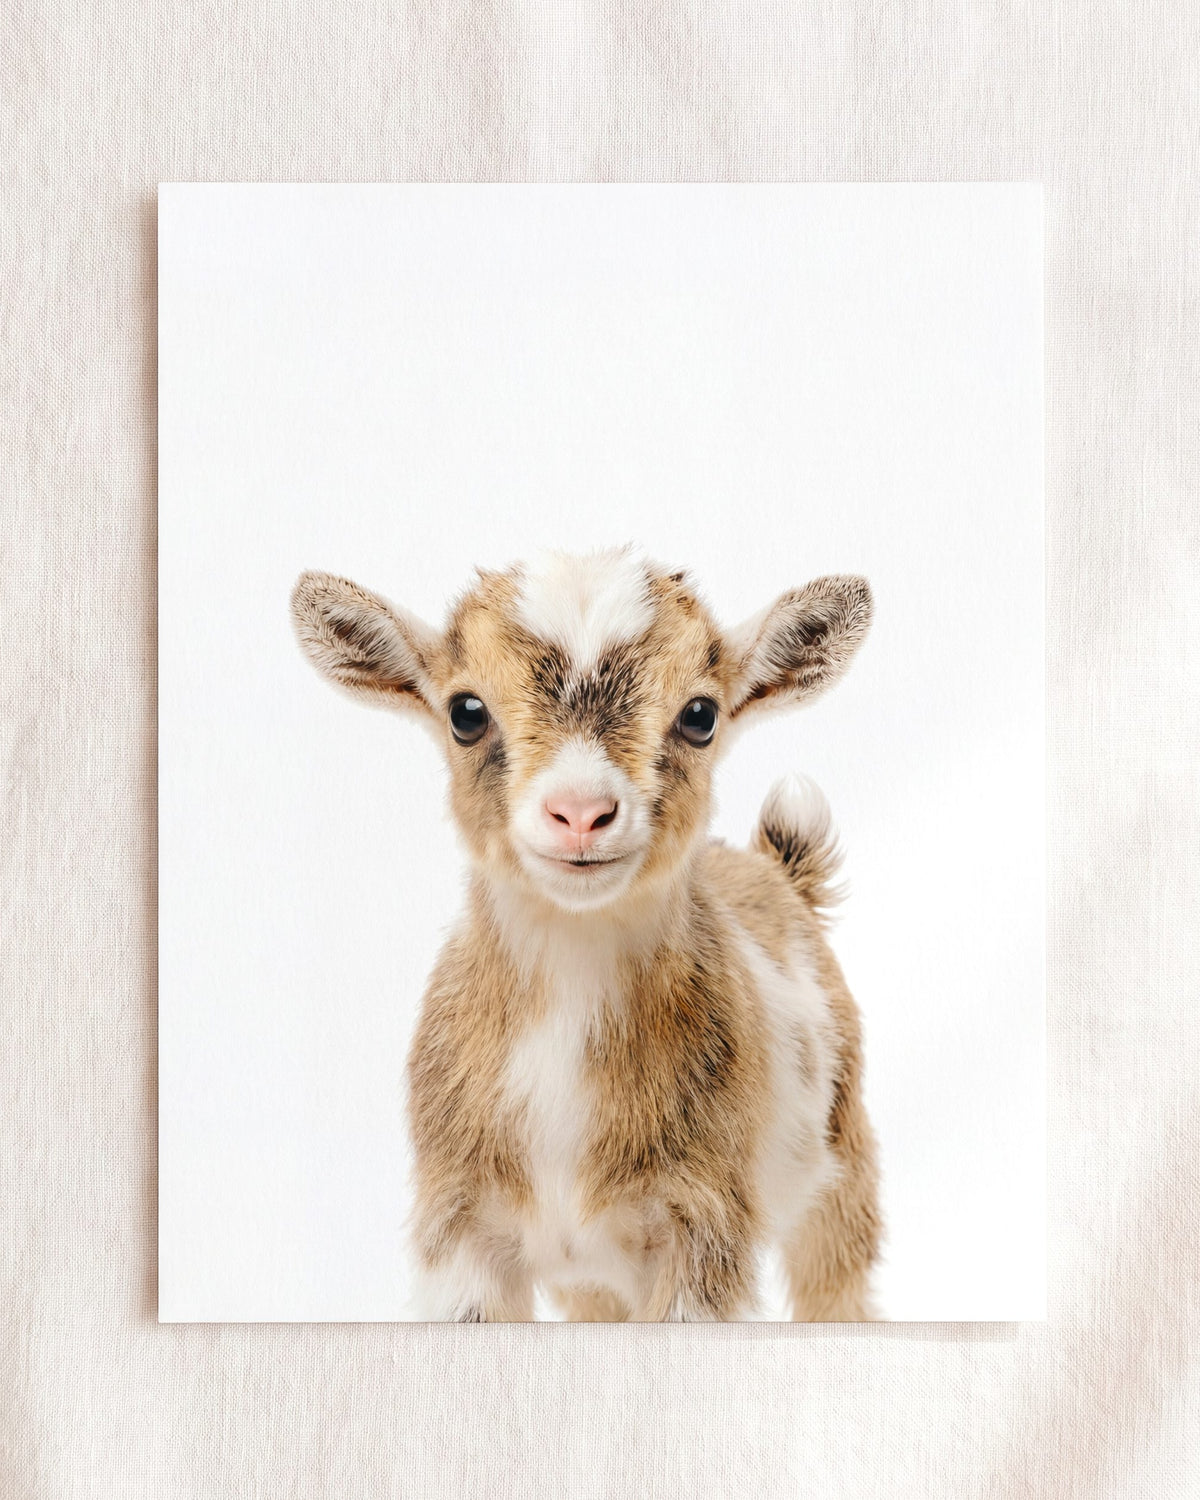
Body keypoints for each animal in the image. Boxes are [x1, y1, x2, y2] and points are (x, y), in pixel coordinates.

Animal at [291, 547, 881, 1320]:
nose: (580, 813)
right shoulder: (460, 1229)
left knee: (838, 1285)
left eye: (700, 715)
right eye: (465, 712)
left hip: (843, 1167)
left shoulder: (704, 1226)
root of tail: (778, 870)